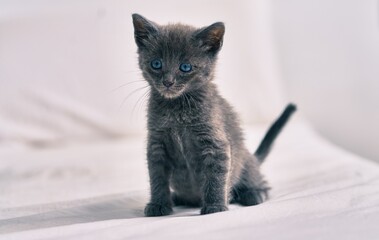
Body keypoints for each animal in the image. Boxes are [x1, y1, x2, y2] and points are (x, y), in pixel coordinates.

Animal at [133, 14, 296, 217]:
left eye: (185, 67)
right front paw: (158, 204)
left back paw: (253, 194)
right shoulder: (157, 144)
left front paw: (215, 206)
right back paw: (178, 198)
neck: (177, 109)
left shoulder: (215, 141)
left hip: (245, 160)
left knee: (258, 180)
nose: (168, 82)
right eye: (156, 64)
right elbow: (157, 177)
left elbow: (216, 176)